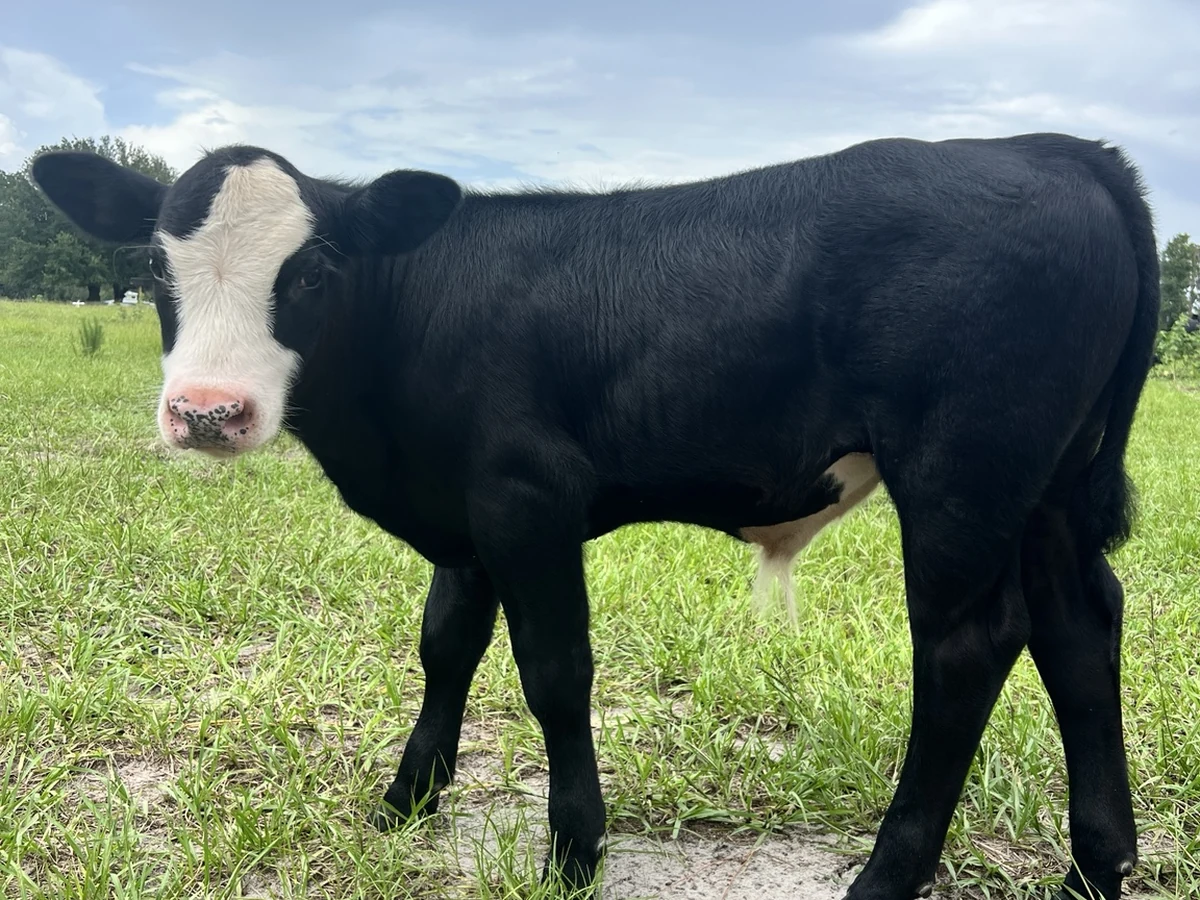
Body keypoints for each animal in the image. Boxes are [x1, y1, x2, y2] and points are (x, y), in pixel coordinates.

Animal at [30, 131, 1159, 900]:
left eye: (310, 271)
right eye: (156, 272)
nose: (206, 411)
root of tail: (1045, 147)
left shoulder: (528, 500)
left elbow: (554, 671)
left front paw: (575, 848)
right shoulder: (465, 515)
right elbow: (446, 645)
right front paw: (407, 802)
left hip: (962, 475)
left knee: (970, 647)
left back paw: (885, 878)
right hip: (1051, 488)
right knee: (1078, 624)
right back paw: (1096, 867)